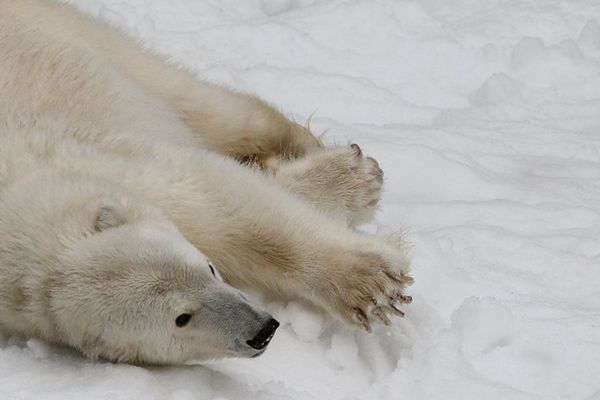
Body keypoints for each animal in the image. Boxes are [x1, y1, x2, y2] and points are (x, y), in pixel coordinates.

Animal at [0, 0, 412, 364]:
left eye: (207, 267)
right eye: (180, 319)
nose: (263, 331)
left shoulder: (62, 150)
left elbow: (213, 199)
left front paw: (371, 284)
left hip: (68, 34)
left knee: (197, 100)